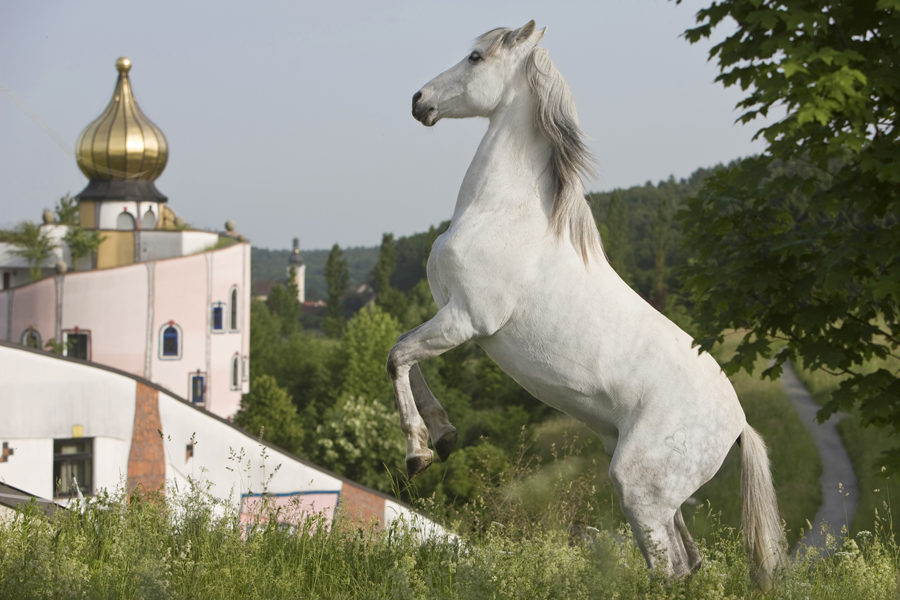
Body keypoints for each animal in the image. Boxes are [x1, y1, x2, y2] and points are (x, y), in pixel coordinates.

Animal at [390, 21, 784, 588]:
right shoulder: (448, 316)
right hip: (664, 499)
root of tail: (738, 424)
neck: (502, 214)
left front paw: (418, 453)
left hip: (640, 489)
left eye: (476, 57)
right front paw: (442, 437)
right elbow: (405, 353)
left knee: (669, 568)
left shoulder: (465, 320)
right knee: (689, 563)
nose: (420, 101)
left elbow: (397, 356)